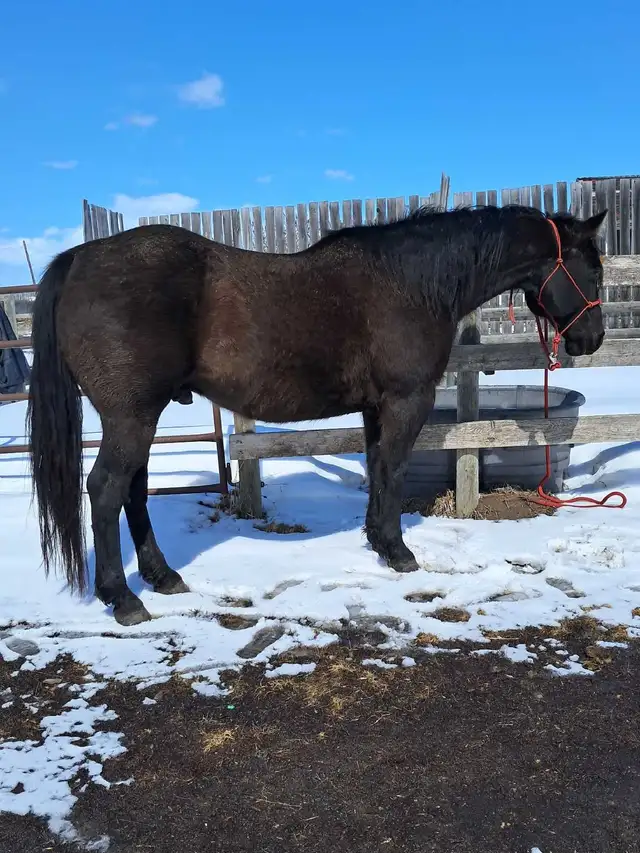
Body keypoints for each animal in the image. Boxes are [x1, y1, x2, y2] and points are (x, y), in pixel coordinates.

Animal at [26, 203, 607, 626]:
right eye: (593, 270)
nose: (591, 339)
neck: (414, 282)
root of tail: (77, 259)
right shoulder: (406, 399)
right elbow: (394, 469)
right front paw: (399, 553)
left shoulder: (376, 407)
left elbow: (377, 467)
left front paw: (378, 541)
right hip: (131, 417)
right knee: (106, 489)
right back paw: (124, 599)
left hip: (139, 417)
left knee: (134, 492)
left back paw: (162, 577)